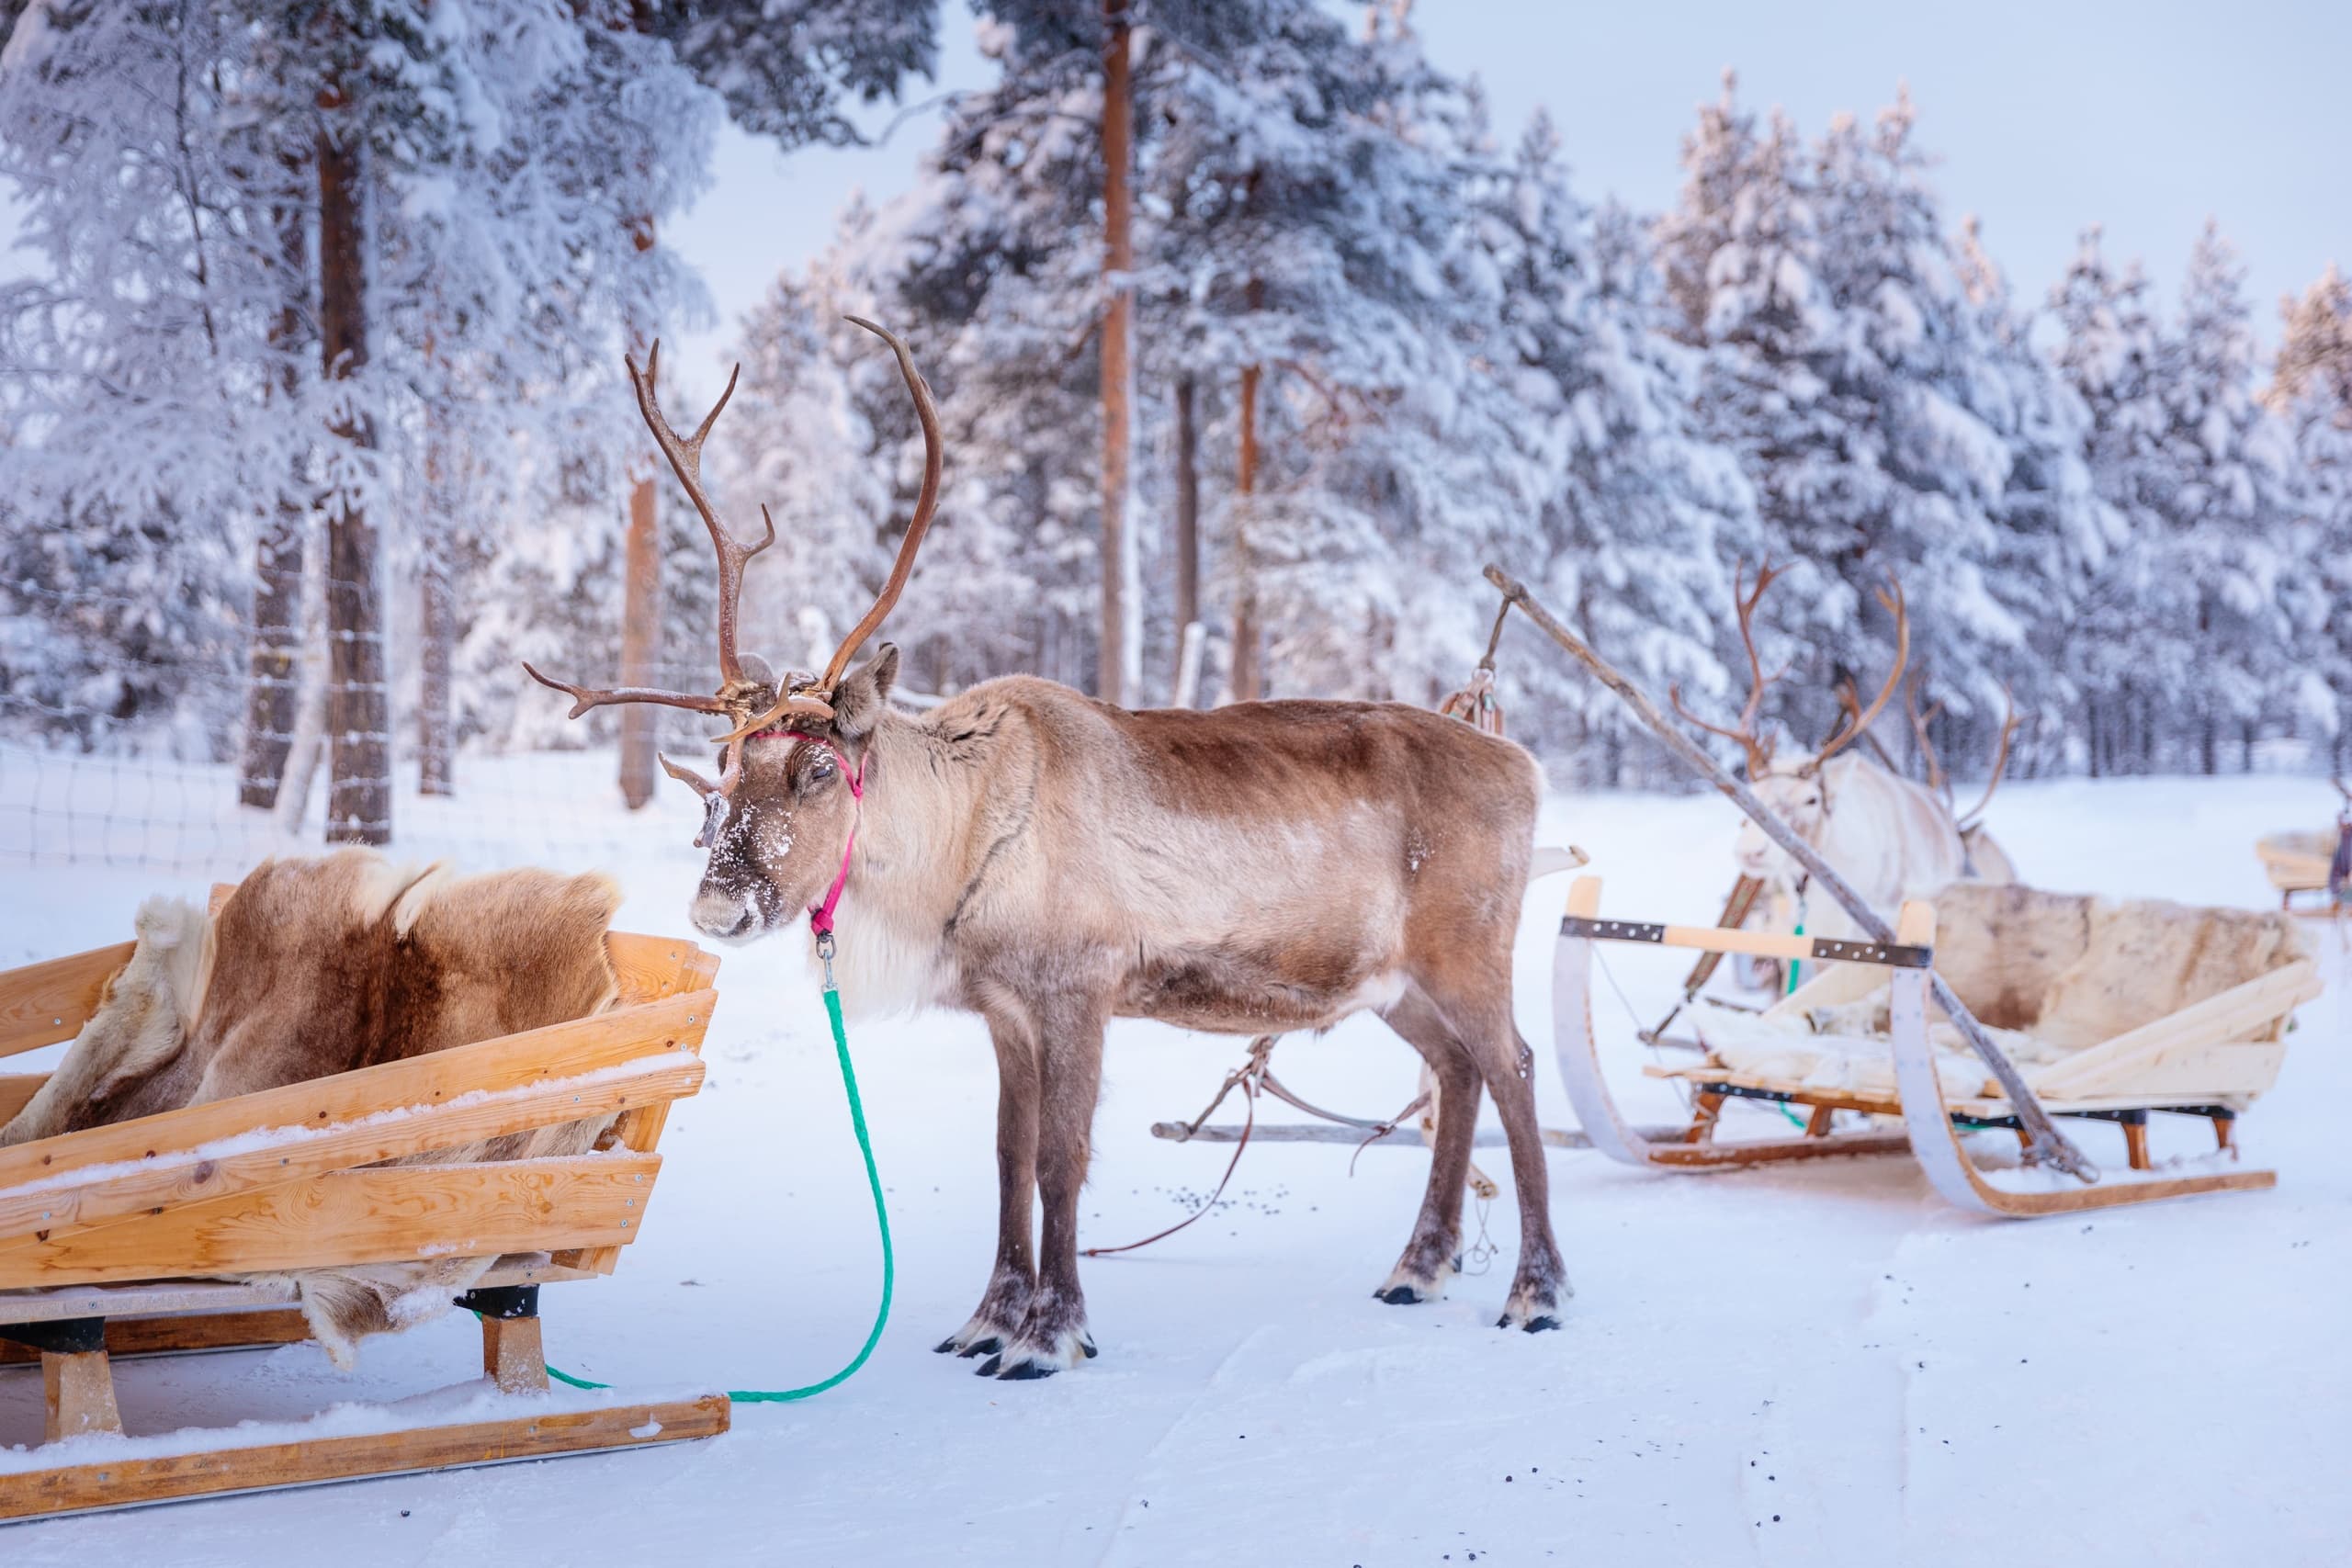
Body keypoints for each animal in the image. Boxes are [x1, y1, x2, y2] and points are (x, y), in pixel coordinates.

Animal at [524, 320, 1568, 1380]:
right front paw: (988, 1318)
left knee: (1517, 1069)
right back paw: (1419, 1267)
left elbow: (1063, 1160)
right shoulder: (1005, 1007)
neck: (960, 840)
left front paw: (1050, 1333)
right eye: (723, 766)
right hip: (1394, 982)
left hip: (1469, 948)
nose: (716, 908)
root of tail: (1529, 768)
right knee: (1457, 1072)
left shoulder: (1079, 987)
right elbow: (1007, 1158)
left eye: (816, 769)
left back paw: (1536, 1292)